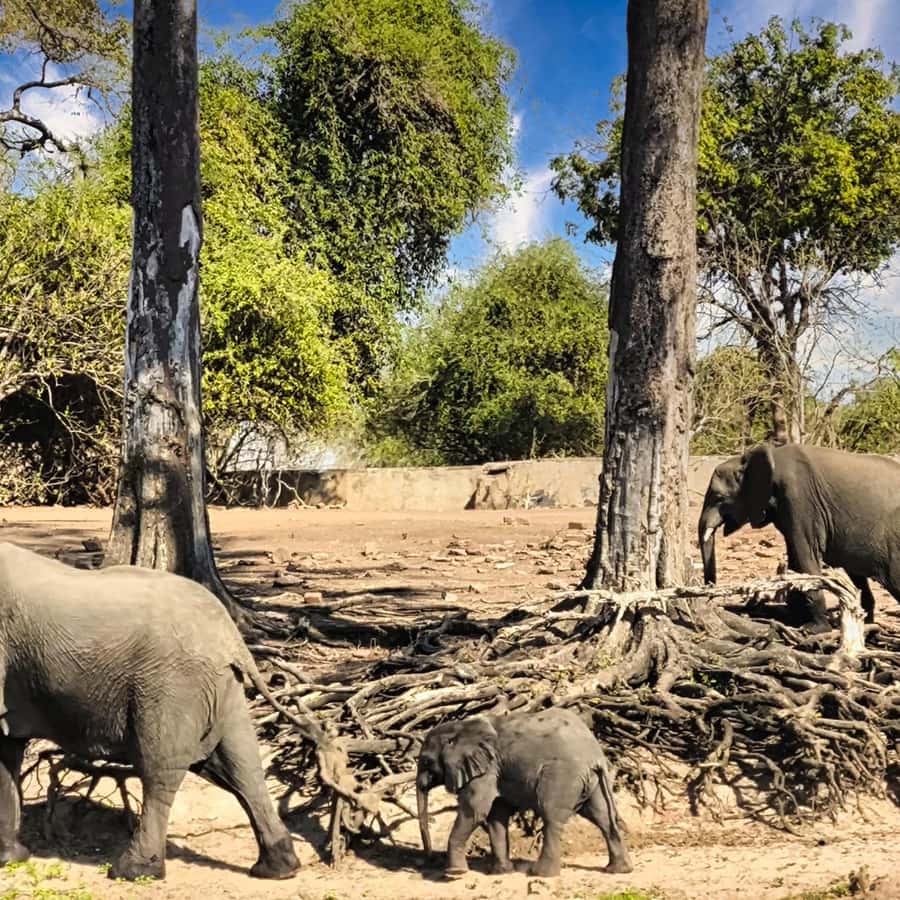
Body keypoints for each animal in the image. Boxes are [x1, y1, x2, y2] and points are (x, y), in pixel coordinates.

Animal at [0, 541, 301, 882]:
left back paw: (132, 870)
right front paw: (11, 858)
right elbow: (6, 753)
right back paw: (277, 868)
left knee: (160, 770)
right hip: (221, 690)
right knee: (241, 766)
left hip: (171, 685)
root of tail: (231, 638)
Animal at [415, 707, 632, 878]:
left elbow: (475, 810)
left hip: (563, 775)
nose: (430, 859)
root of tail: (596, 755)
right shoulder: (497, 772)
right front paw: (502, 872)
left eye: (426, 761)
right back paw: (618, 870)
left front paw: (455, 874)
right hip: (593, 781)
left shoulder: (487, 769)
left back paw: (540, 874)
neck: (461, 726)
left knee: (552, 817)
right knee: (602, 816)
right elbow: (496, 814)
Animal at [698, 442, 900, 627]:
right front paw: (797, 621)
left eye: (719, 498)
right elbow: (795, 561)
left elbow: (805, 556)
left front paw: (815, 629)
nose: (711, 601)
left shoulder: (799, 499)